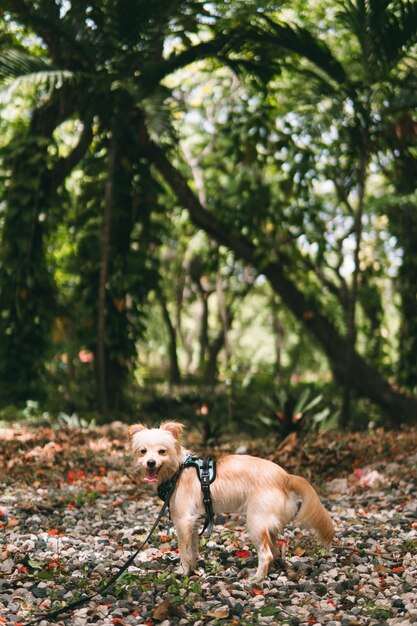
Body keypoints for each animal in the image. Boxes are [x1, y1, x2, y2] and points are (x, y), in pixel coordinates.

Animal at [128, 422, 334, 576]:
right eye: (143, 451)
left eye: (162, 452)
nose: (150, 463)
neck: (178, 467)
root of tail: (285, 476)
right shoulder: (193, 523)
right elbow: (193, 549)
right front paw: (194, 569)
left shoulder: (183, 521)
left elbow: (184, 551)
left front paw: (184, 572)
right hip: (269, 524)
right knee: (275, 551)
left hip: (256, 522)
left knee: (267, 554)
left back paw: (256, 580)